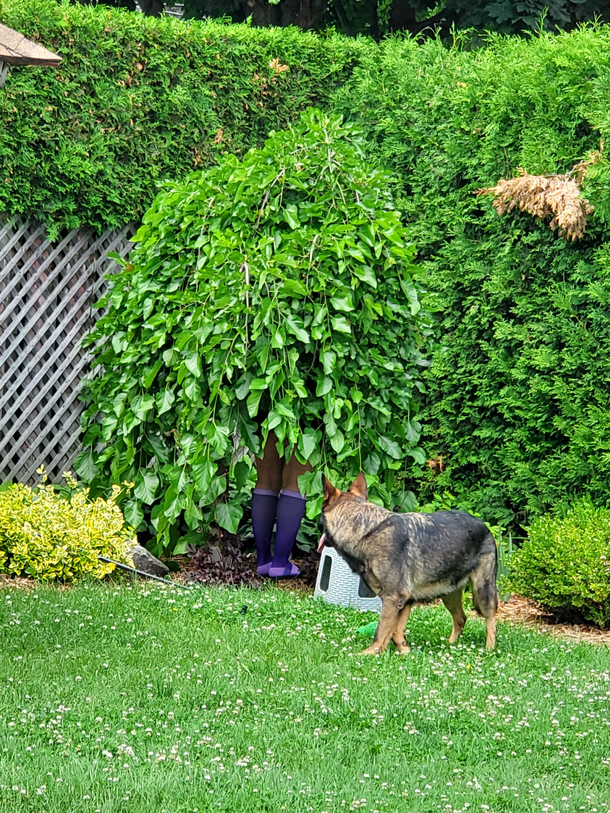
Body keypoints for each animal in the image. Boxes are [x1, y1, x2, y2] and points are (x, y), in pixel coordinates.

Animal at [316, 476, 496, 652]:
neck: (366, 530)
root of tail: (484, 526)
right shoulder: (404, 601)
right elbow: (394, 630)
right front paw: (402, 649)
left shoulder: (394, 597)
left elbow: (381, 630)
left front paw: (369, 653)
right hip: (448, 593)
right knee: (461, 618)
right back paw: (450, 645)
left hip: (482, 590)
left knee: (490, 621)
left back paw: (489, 650)